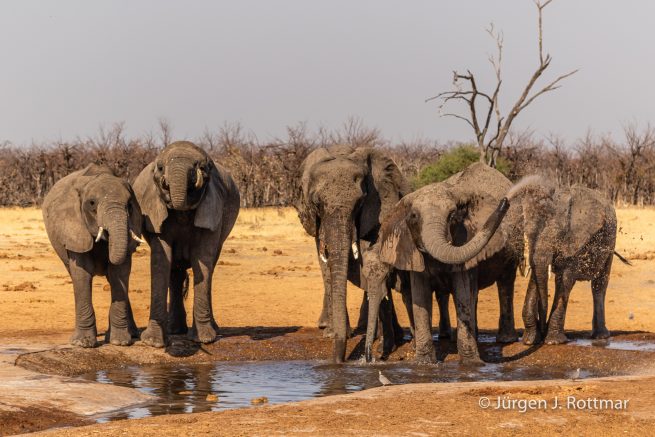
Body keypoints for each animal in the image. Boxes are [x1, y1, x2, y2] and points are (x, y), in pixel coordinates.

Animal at [42, 164, 143, 347]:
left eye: (130, 205)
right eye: (92, 203)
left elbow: (119, 273)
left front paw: (119, 342)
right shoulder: (74, 228)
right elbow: (82, 274)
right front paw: (83, 344)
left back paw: (132, 334)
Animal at [133, 141, 240, 348]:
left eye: (204, 168)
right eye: (160, 168)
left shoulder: (212, 208)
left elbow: (203, 261)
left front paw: (204, 339)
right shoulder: (156, 211)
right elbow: (161, 262)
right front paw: (153, 342)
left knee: (209, 268)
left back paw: (212, 329)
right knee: (174, 273)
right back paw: (175, 330)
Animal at [297, 145, 409, 363]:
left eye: (360, 202)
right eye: (317, 204)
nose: (338, 361)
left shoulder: (380, 207)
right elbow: (326, 265)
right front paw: (332, 334)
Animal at [378, 162, 523, 364]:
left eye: (453, 215)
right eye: (413, 216)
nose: (505, 202)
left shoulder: (463, 238)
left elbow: (462, 293)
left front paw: (471, 363)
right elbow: (420, 297)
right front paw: (424, 363)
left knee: (505, 282)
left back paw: (505, 339)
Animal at [509, 177, 631, 345]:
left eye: (558, 232)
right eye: (529, 232)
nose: (542, 328)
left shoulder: (577, 241)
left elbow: (565, 279)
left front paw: (554, 342)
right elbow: (536, 276)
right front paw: (529, 341)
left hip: (610, 243)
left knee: (599, 285)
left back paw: (601, 336)